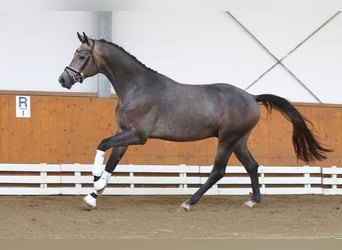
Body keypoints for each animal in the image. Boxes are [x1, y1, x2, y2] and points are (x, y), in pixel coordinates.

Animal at [58, 32, 332, 210]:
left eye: (82, 55)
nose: (63, 79)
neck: (137, 87)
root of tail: (252, 97)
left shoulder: (138, 135)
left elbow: (102, 144)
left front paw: (95, 181)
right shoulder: (124, 132)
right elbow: (112, 160)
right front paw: (94, 193)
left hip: (227, 139)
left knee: (218, 171)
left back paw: (189, 202)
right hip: (239, 141)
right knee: (252, 166)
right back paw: (253, 201)